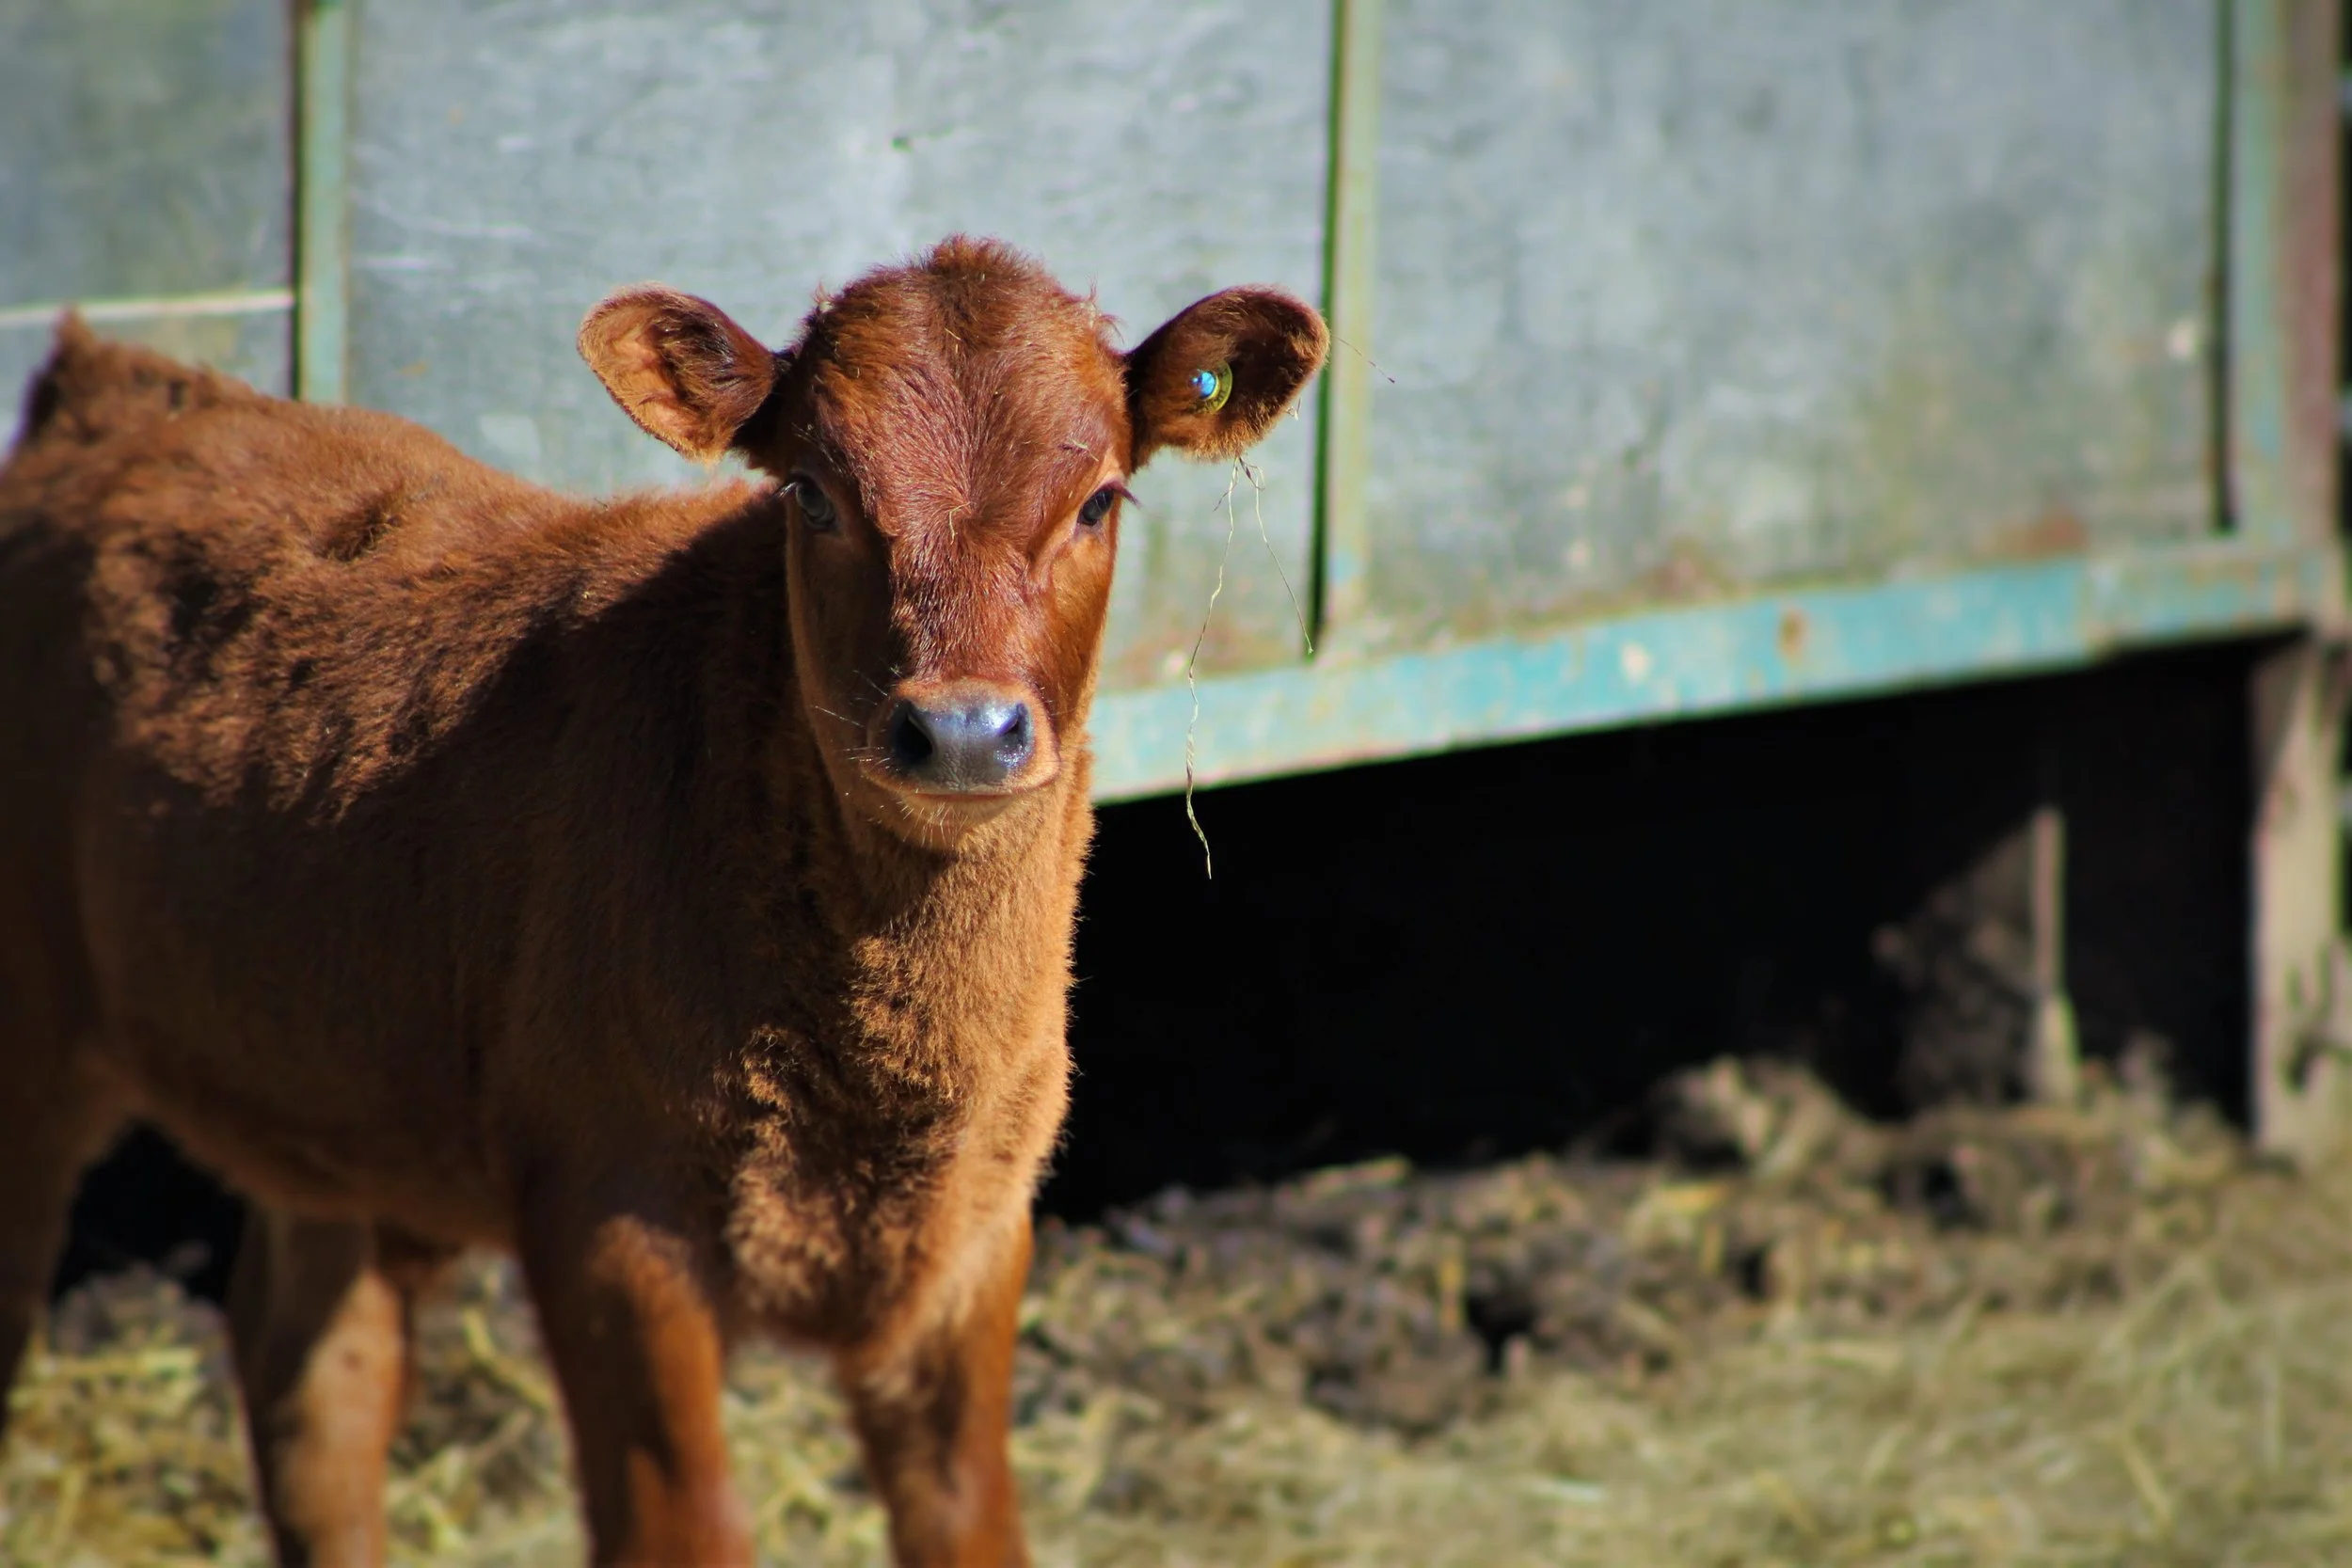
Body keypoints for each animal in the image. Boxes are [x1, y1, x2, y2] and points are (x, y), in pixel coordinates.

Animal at [0, 236, 1327, 1567]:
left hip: (330, 1092)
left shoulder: (974, 1234)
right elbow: (680, 1523)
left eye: (1099, 499)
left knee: (313, 1378)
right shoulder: (611, 1221)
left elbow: (967, 1515)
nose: (961, 730)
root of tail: (107, 384)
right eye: (812, 495)